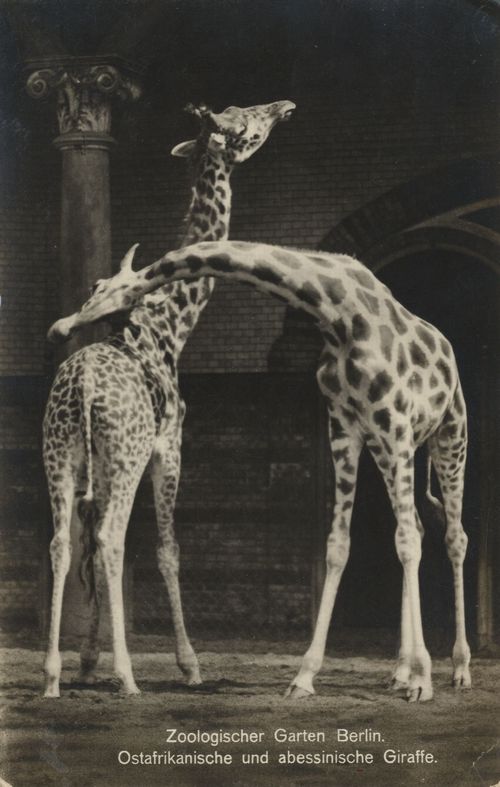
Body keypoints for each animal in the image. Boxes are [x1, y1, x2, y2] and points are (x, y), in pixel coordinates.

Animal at [42, 101, 295, 697]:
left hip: (61, 454)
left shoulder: (98, 466)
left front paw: (86, 660)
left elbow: (100, 548)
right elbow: (167, 550)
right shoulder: (169, 447)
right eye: (245, 125)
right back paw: (128, 677)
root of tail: (83, 388)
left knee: (64, 542)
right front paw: (190, 664)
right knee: (109, 537)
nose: (283, 108)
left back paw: (52, 677)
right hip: (125, 454)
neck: (172, 322)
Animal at [49, 238, 471, 702]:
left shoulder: (394, 422)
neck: (339, 313)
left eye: (101, 287)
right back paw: (398, 671)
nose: (60, 328)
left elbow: (407, 543)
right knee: (417, 525)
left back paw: (458, 669)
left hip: (448, 433)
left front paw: (423, 678)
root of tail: (448, 347)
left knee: (452, 537)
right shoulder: (346, 428)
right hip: (388, 449)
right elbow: (339, 545)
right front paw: (306, 676)